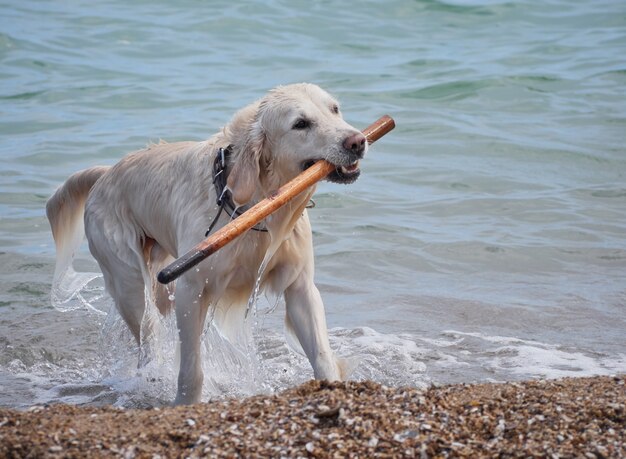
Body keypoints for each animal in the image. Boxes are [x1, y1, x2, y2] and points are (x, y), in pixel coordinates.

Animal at [47, 84, 366, 404]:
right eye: (300, 124)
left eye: (335, 109)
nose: (358, 141)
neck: (254, 204)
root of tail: (105, 173)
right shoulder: (191, 291)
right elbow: (192, 369)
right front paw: (184, 403)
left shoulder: (300, 286)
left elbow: (321, 355)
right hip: (131, 283)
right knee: (147, 339)